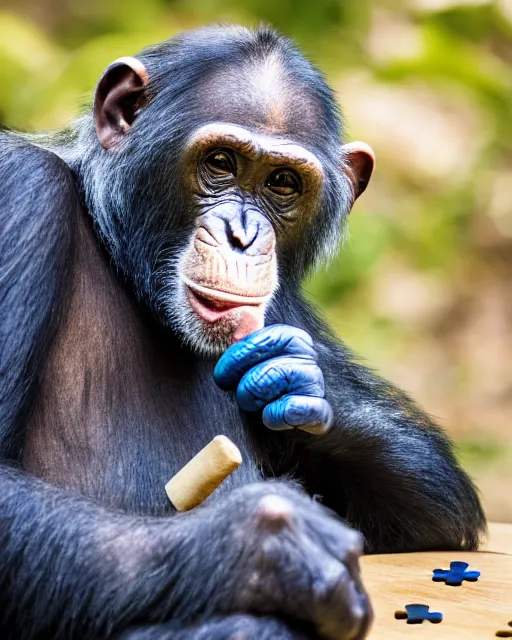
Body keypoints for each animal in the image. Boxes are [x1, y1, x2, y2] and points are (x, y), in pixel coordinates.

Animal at [0, 23, 486, 640]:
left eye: (282, 183)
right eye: (221, 163)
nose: (243, 234)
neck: (125, 265)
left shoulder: (282, 303)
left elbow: (440, 506)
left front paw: (293, 379)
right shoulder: (19, 193)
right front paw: (269, 547)